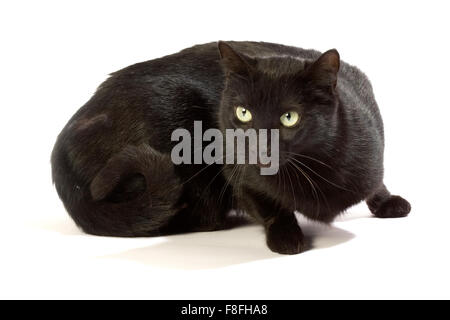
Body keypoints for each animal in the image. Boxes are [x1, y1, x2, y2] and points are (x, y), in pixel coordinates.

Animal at [51, 40, 410, 255]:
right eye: (243, 113)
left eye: (289, 117)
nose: (256, 148)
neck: (311, 174)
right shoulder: (238, 176)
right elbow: (269, 206)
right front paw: (286, 237)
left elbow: (375, 181)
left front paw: (388, 201)